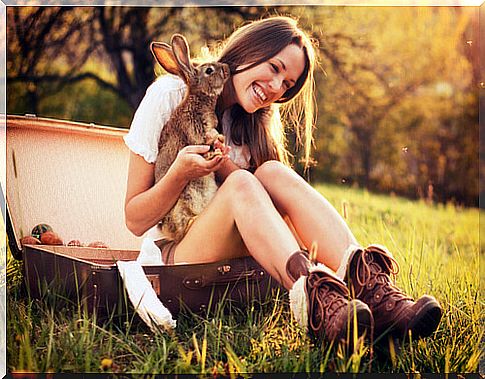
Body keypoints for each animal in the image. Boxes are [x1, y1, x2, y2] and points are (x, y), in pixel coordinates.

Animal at [150, 35, 230, 243]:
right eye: (209, 70)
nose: (227, 68)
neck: (199, 98)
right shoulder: (194, 127)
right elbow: (205, 140)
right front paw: (214, 151)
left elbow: (215, 136)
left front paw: (221, 141)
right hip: (183, 202)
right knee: (181, 228)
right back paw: (192, 221)